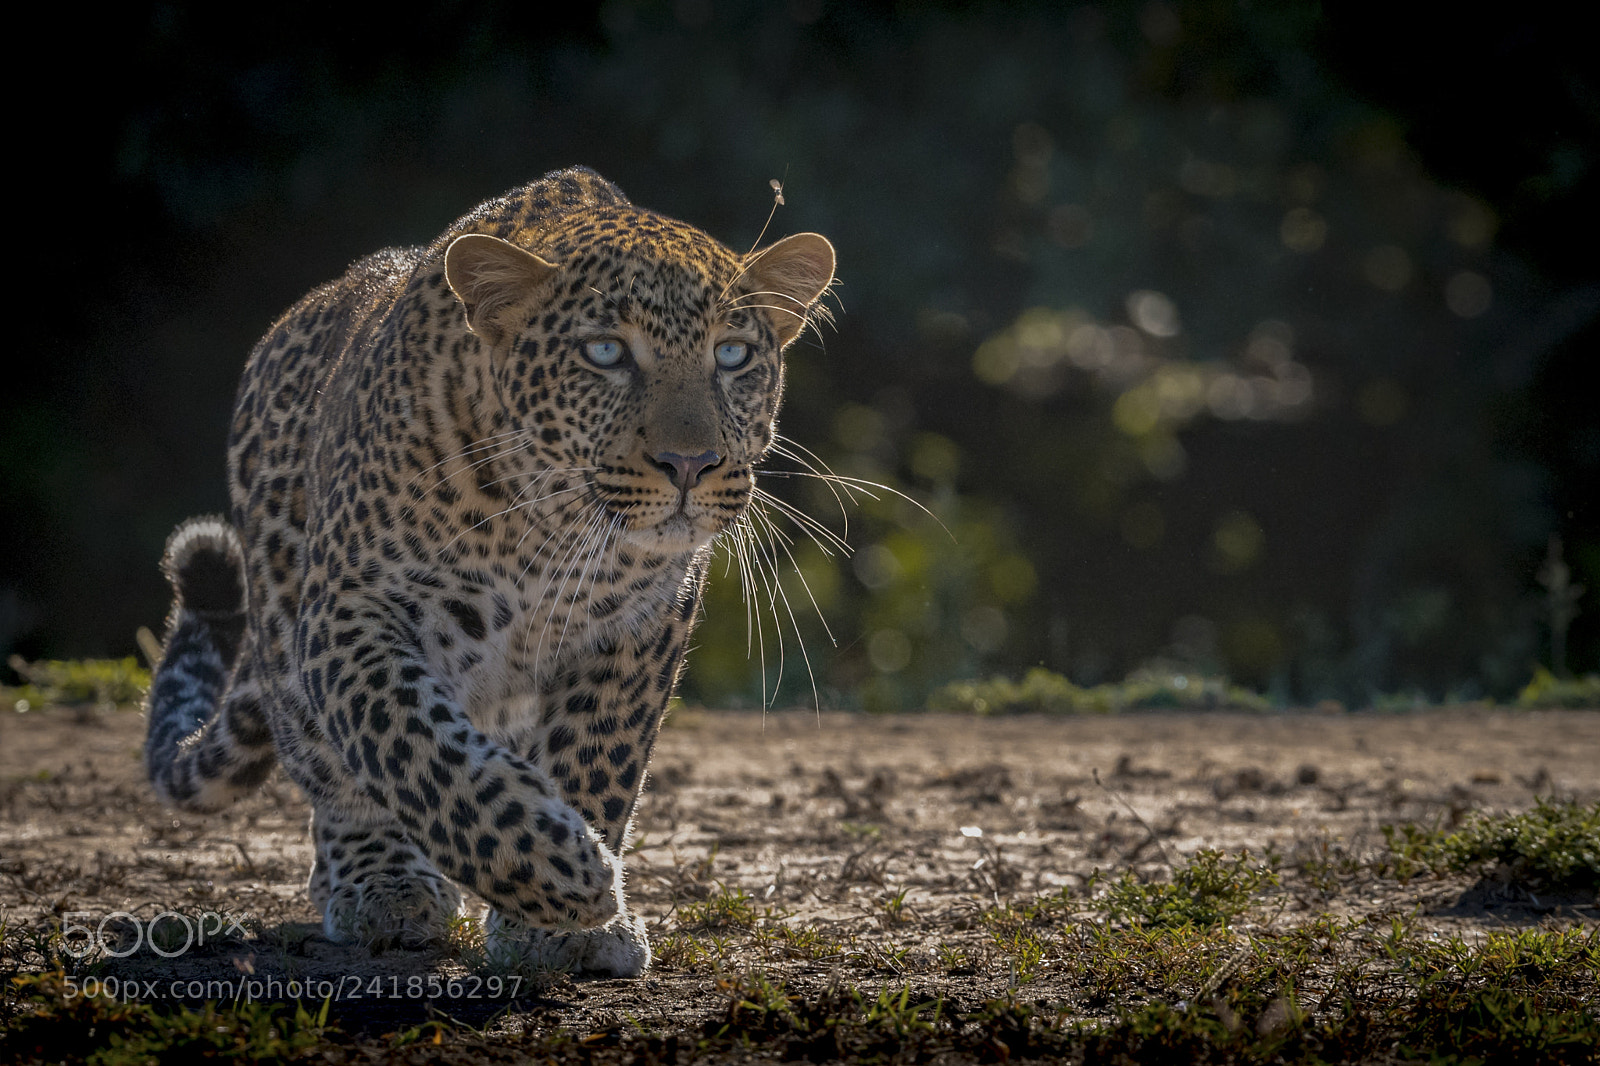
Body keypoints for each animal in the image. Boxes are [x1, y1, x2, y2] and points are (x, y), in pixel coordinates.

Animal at [144, 166, 835, 977]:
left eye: (732, 356)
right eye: (605, 352)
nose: (690, 464)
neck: (548, 525)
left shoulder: (643, 625)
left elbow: (599, 753)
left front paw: (565, 925)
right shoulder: (353, 609)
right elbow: (413, 747)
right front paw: (559, 874)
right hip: (284, 616)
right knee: (335, 774)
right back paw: (383, 882)